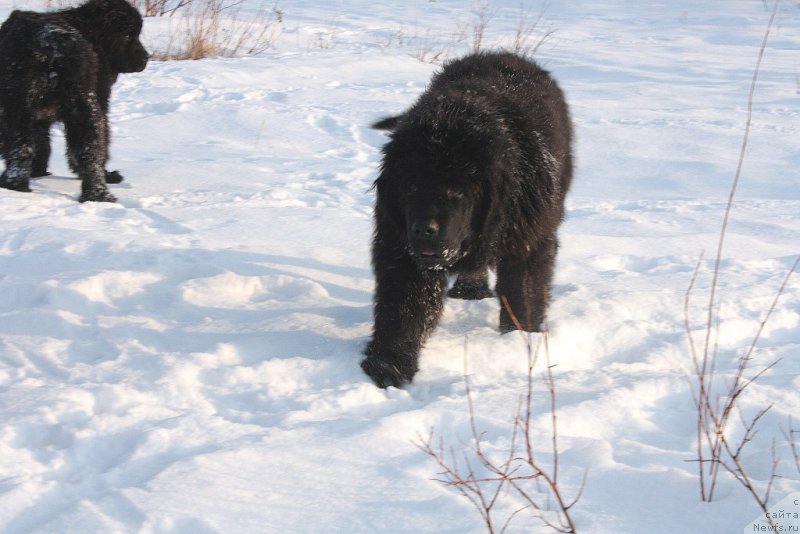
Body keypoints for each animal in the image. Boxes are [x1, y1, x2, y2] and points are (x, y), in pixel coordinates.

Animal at [0, 0, 148, 203]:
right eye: (127, 35)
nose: (146, 57)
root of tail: (51, 43)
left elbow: (41, 144)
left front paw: (38, 172)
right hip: (85, 108)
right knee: (91, 150)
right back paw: (98, 194)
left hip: (19, 107)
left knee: (20, 148)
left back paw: (14, 185)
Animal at [362, 52, 576, 390]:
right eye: (411, 186)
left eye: (456, 190)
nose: (424, 229)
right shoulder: (399, 242)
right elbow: (404, 303)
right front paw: (389, 364)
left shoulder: (528, 239)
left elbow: (522, 291)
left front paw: (520, 342)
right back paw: (470, 288)